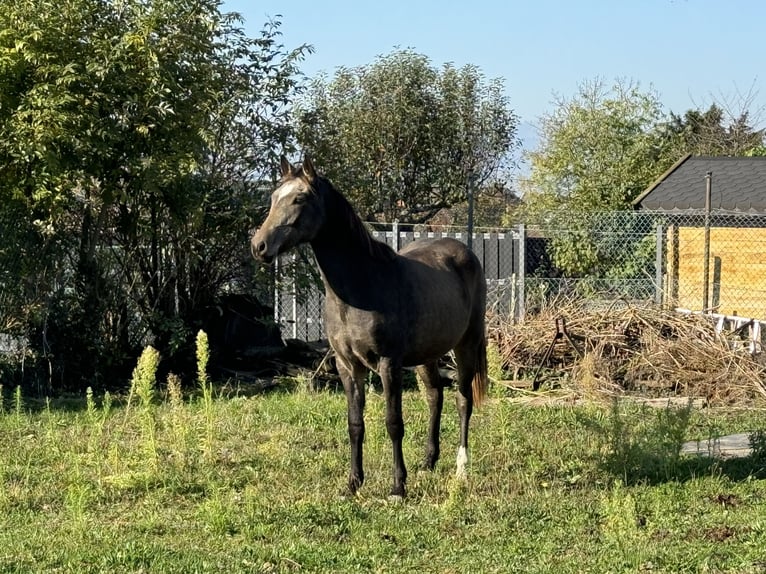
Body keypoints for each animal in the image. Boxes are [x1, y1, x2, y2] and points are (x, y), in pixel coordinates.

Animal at [255, 156, 488, 500]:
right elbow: (355, 424)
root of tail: (465, 252)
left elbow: (393, 423)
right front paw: (353, 484)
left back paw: (461, 469)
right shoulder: (347, 366)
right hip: (427, 354)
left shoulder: (389, 364)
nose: (259, 246)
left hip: (467, 344)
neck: (361, 286)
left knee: (462, 400)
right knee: (435, 396)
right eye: (273, 197)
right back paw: (428, 461)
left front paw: (397, 487)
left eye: (299, 198)